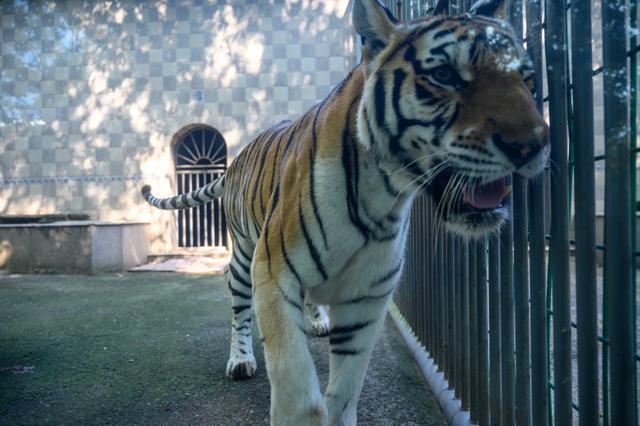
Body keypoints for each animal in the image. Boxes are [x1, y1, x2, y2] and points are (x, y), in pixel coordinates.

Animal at [142, 0, 548, 424]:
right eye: (444, 75)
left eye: (527, 80)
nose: (532, 145)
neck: (384, 195)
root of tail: (235, 160)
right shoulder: (272, 273)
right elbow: (297, 386)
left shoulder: (367, 296)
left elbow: (347, 386)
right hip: (242, 258)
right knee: (239, 311)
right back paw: (240, 360)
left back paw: (318, 320)